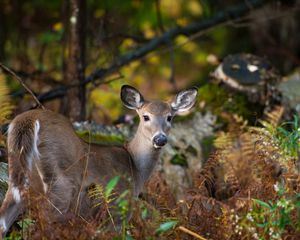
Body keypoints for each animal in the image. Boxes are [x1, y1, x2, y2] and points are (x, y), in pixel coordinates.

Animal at [0, 85, 197, 236]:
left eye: (169, 117)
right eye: (145, 116)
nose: (160, 139)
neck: (135, 167)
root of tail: (28, 120)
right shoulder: (117, 205)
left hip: (19, 178)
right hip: (61, 180)